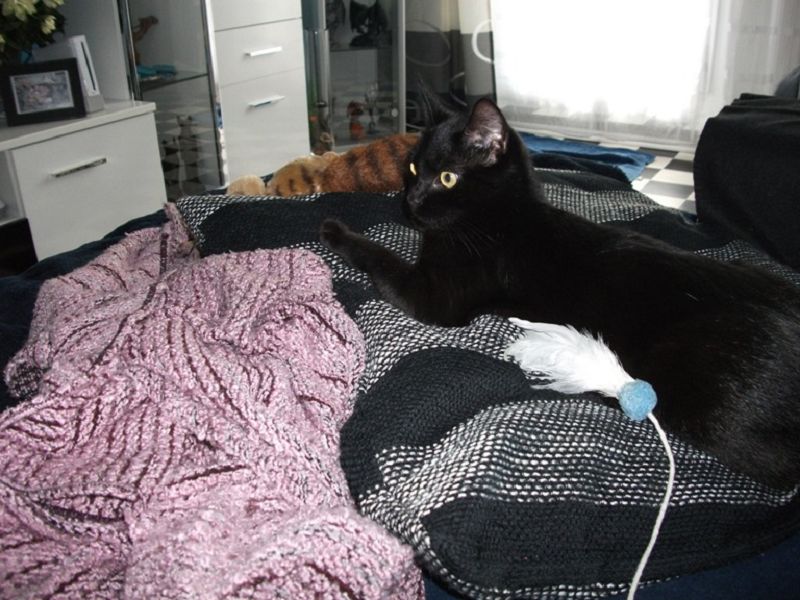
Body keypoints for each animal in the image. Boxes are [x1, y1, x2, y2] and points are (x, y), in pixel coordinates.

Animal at [320, 92, 800, 489]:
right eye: (413, 169)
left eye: (449, 178)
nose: (411, 202)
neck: (499, 214)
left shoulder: (434, 297)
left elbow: (379, 256)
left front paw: (335, 230)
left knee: (772, 465)